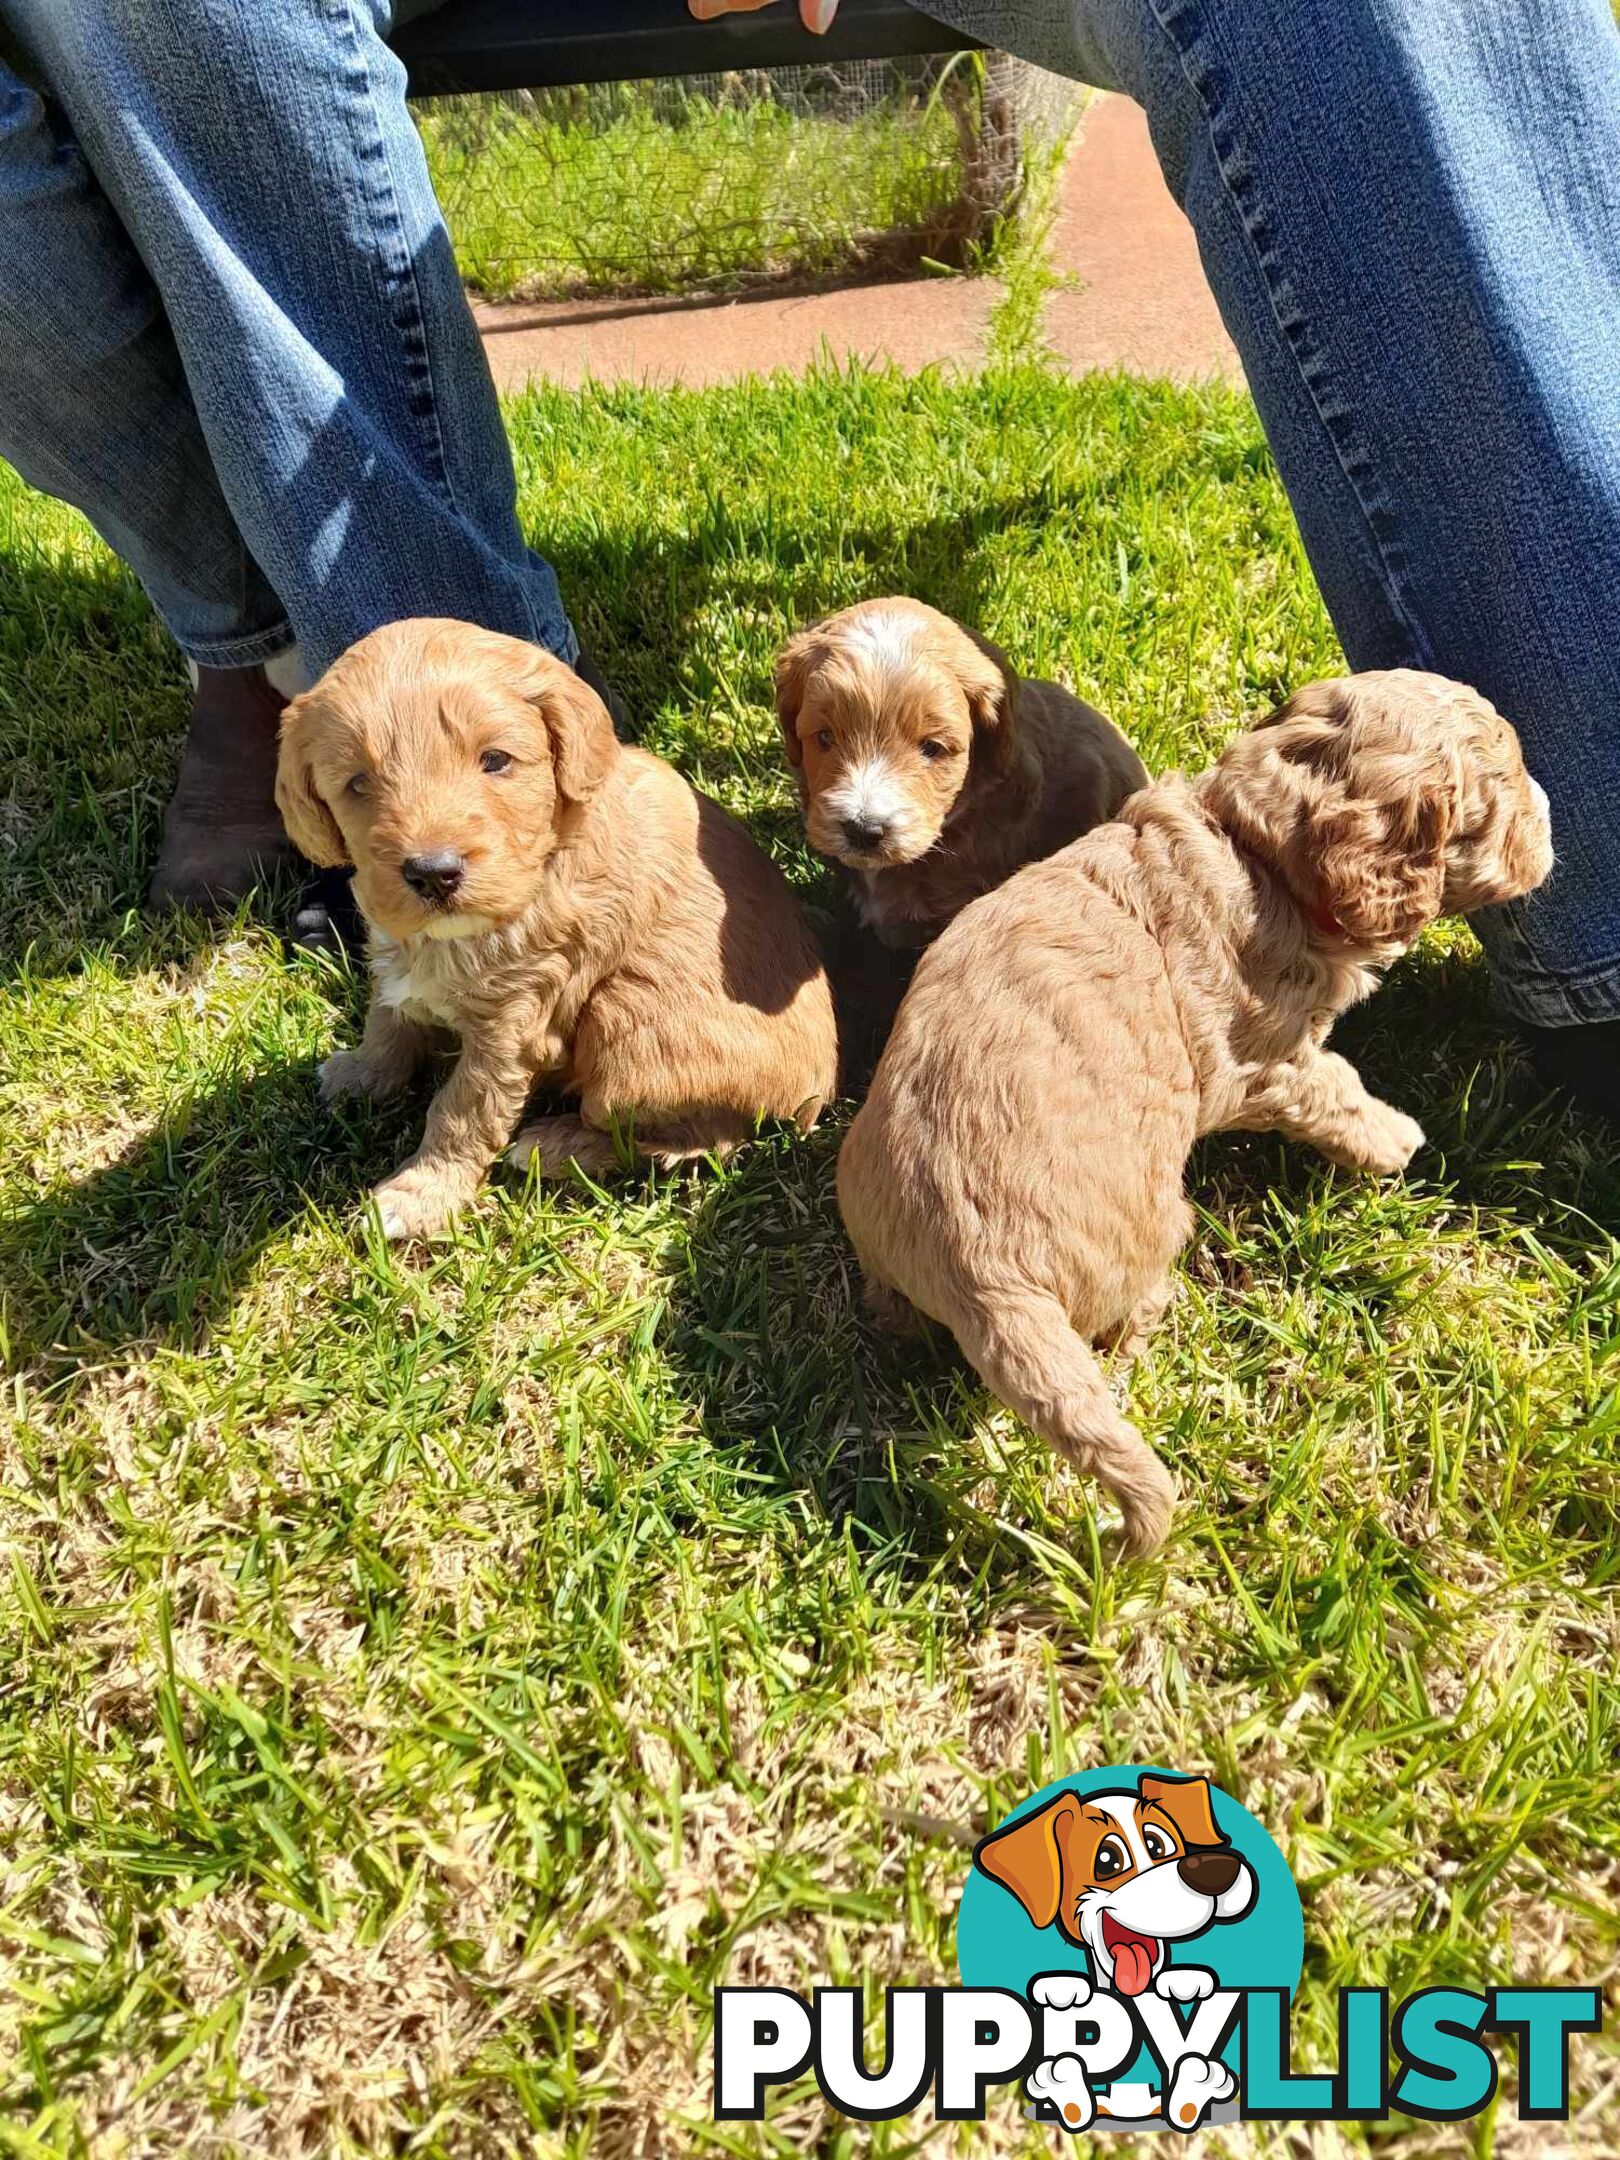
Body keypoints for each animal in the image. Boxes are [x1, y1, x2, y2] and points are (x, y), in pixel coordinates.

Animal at [278, 617, 838, 1244]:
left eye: (495, 760)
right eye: (357, 784)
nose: (433, 873)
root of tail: (817, 1095)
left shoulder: (514, 1020)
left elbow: (463, 1107)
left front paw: (421, 1195)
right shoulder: (393, 946)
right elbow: (387, 1018)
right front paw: (364, 1072)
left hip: (628, 1032)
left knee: (696, 1139)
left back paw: (559, 1146)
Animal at [838, 669, 1563, 1555]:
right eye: (1505, 789)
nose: (1554, 815)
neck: (1255, 848)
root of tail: (982, 1274)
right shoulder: (1260, 1066)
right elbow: (1334, 1087)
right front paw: (1394, 1139)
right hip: (1153, 1228)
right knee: (1132, 1311)